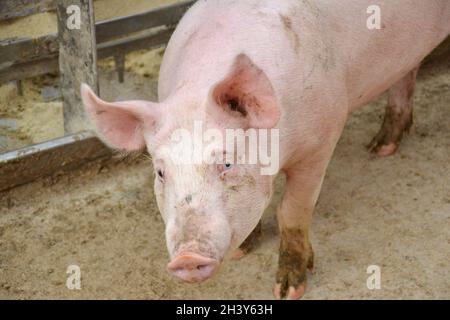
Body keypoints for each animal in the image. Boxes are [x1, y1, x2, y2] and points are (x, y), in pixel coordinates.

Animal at [81, 0, 450, 300]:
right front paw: (243, 250)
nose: (187, 257)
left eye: (227, 163)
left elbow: (292, 212)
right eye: (160, 172)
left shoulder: (322, 141)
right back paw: (380, 148)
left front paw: (288, 290)